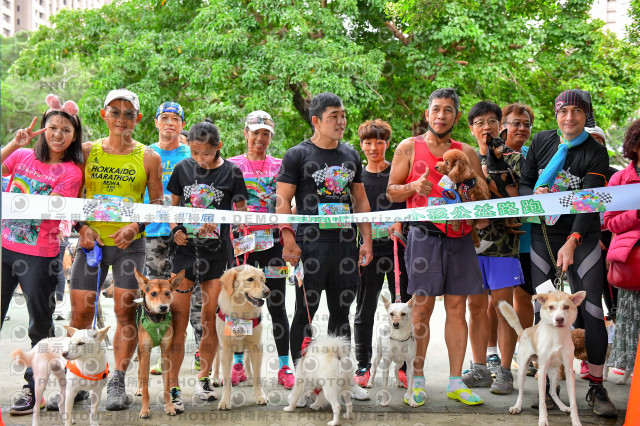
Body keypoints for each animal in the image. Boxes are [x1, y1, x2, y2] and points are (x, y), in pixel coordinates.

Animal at [134, 270, 184, 420]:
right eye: (153, 293)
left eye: (167, 293)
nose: (163, 307)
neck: (156, 320)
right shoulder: (145, 351)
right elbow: (146, 386)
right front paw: (145, 410)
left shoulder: (166, 351)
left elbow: (167, 384)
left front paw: (169, 407)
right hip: (139, 350)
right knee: (139, 371)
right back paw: (138, 389)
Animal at [215, 264, 270, 412]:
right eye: (250, 279)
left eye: (262, 279)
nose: (267, 292)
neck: (241, 311)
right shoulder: (225, 349)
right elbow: (227, 380)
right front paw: (224, 401)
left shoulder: (257, 347)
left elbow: (257, 376)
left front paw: (260, 396)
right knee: (215, 361)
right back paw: (214, 378)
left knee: (246, 361)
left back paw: (249, 378)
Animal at [500, 290, 584, 426]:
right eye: (551, 307)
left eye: (566, 306)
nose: (559, 319)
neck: (557, 335)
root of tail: (524, 332)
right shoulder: (542, 371)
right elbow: (542, 401)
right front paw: (543, 419)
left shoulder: (568, 371)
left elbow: (573, 402)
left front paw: (576, 420)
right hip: (523, 370)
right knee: (521, 392)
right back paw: (517, 407)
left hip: (554, 373)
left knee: (552, 392)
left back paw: (563, 407)